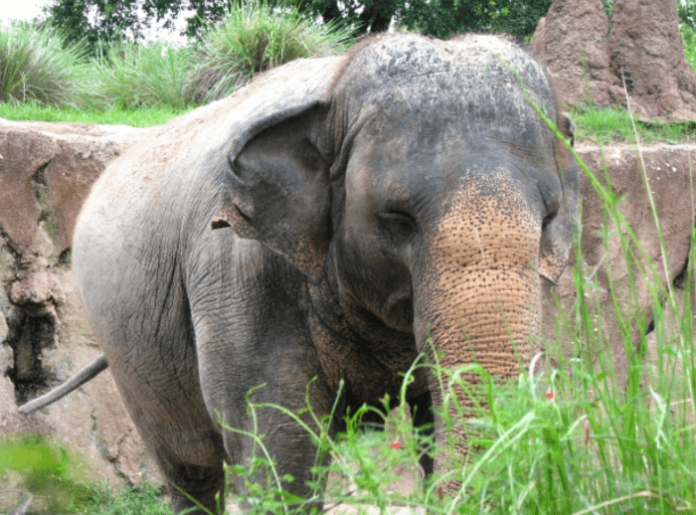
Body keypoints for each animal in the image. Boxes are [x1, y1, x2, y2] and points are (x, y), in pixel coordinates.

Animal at [23, 34, 576, 512]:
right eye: (398, 219)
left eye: (549, 217)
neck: (336, 84)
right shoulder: (239, 271)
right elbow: (280, 449)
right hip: (131, 348)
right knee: (189, 466)